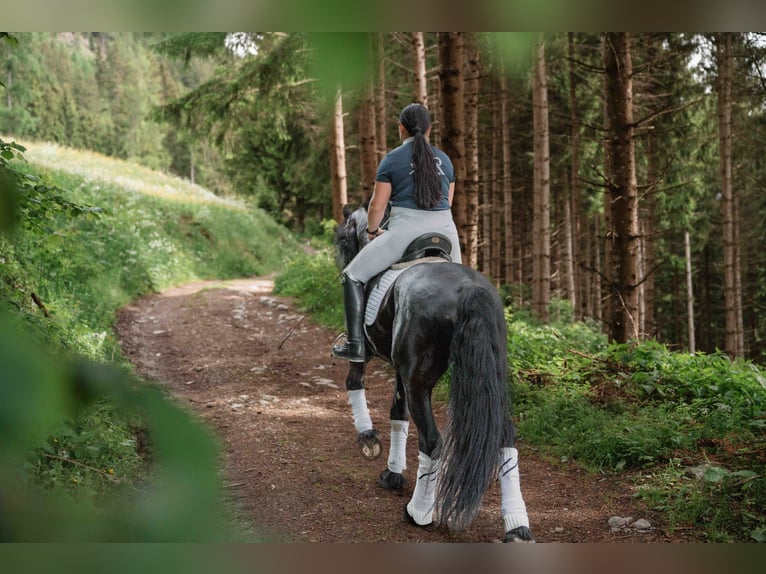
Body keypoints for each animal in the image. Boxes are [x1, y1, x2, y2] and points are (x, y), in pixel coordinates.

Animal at [332, 206, 536, 544]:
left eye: (342, 239)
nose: (341, 263)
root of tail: (468, 289)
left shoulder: (371, 355)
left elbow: (356, 383)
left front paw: (368, 439)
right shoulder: (400, 370)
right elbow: (397, 413)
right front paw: (392, 473)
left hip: (419, 381)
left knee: (432, 440)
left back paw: (419, 512)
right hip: (488, 377)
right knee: (505, 434)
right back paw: (517, 527)